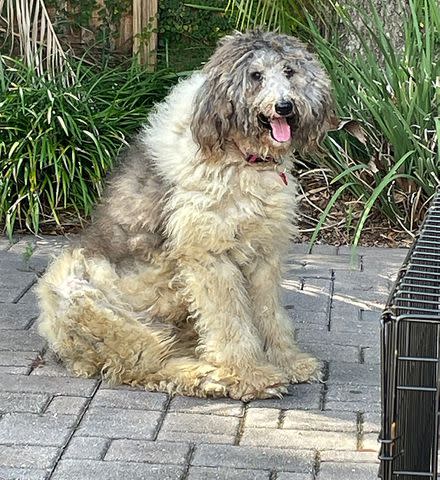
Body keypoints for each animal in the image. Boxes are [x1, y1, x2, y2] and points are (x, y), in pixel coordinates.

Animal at [37, 28, 336, 400]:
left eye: (289, 71)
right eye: (255, 76)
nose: (285, 106)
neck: (240, 158)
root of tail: (62, 347)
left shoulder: (263, 254)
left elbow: (269, 314)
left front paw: (288, 362)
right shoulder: (209, 256)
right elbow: (229, 322)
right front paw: (250, 375)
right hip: (96, 305)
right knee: (144, 366)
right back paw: (211, 377)